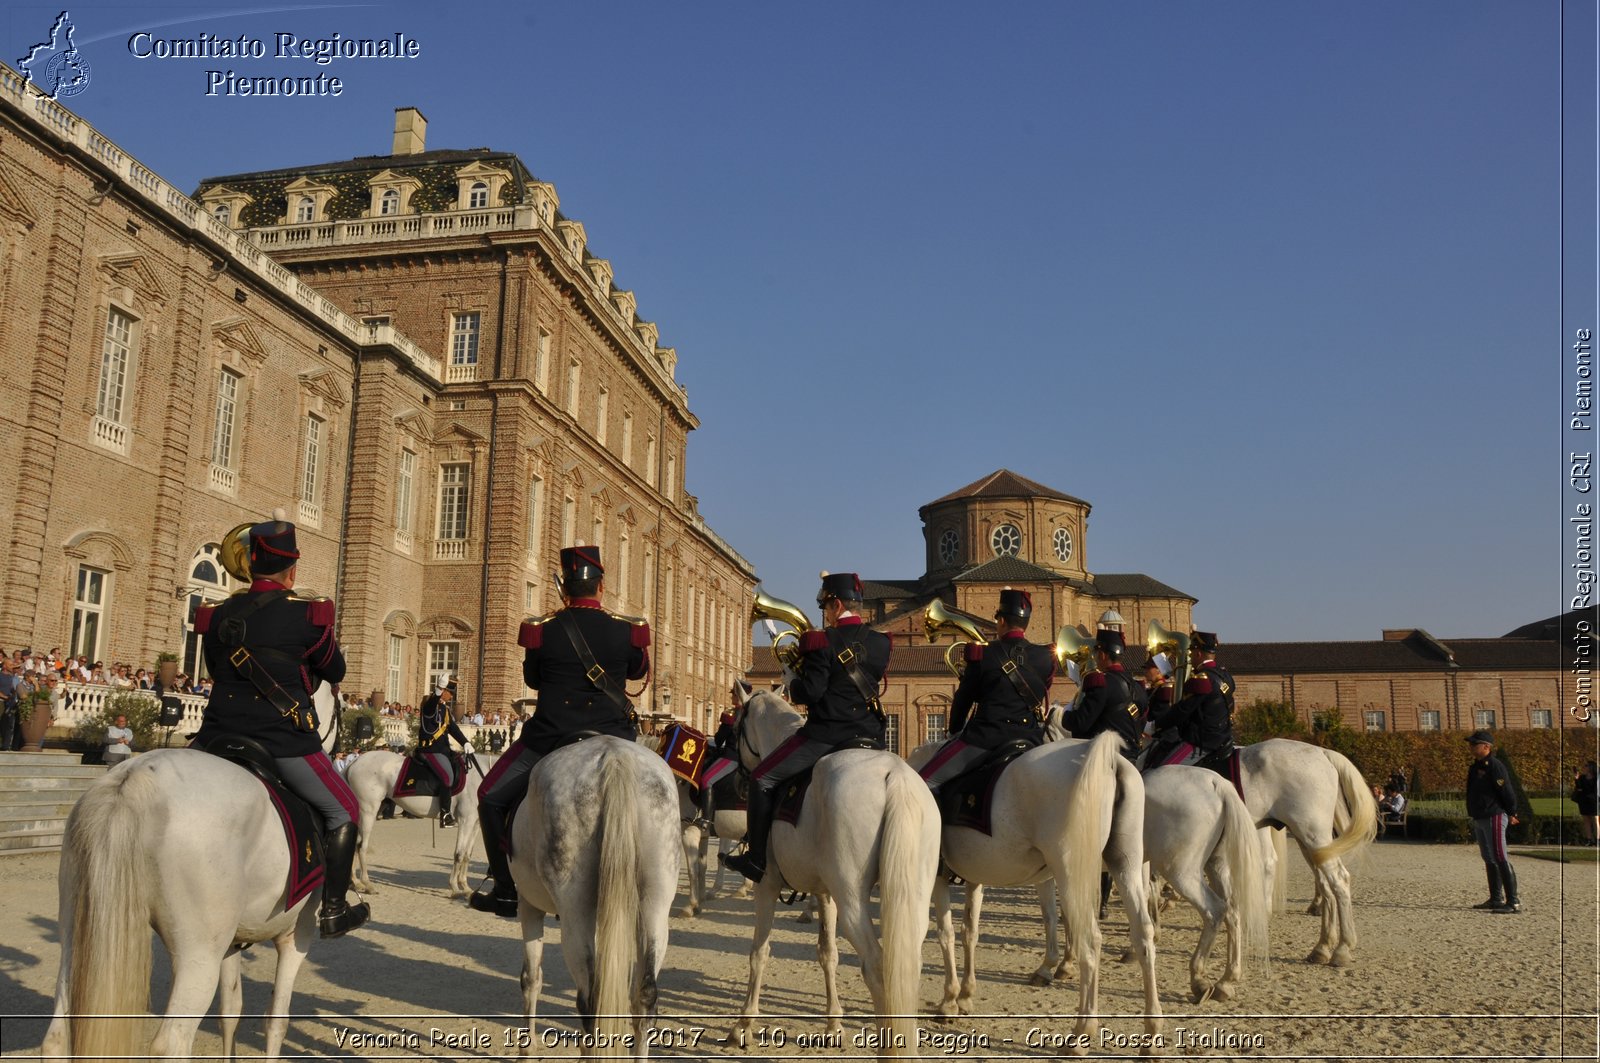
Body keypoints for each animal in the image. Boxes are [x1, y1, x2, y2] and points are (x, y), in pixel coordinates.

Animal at [42, 685, 342, 1056]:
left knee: (56, 1037)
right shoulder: (295, 936)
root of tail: (135, 777)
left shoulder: (232, 941)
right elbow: (276, 1021)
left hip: (76, 935)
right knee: (171, 1043)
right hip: (198, 955)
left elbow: (231, 1012)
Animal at [340, 746, 483, 896]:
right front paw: (455, 887)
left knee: (355, 844)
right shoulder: (465, 820)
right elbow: (459, 853)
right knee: (361, 846)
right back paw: (367, 884)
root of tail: (355, 761)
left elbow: (467, 854)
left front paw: (466, 887)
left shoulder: (475, 823)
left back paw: (356, 882)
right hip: (368, 810)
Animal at [502, 736, 672, 1056]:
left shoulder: (528, 904)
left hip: (574, 911)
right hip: (655, 903)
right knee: (644, 996)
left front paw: (526, 1051)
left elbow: (530, 978)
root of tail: (614, 757)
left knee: (590, 1002)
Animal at [732, 688, 940, 1056]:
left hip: (852, 901)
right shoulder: (825, 893)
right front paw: (833, 1022)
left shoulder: (766, 886)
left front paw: (745, 1022)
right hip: (910, 898)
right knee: (906, 965)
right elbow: (828, 955)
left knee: (878, 967)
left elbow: (760, 952)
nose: (740, 784)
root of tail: (895, 777)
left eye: (732, 725)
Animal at [915, 730, 1164, 1043]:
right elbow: (970, 932)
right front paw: (966, 996)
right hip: (1124, 865)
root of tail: (1109, 760)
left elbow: (945, 934)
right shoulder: (977, 876)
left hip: (1073, 873)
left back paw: (1082, 1030)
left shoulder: (937, 877)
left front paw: (949, 1000)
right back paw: (1152, 1029)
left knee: (1091, 939)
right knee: (1143, 934)